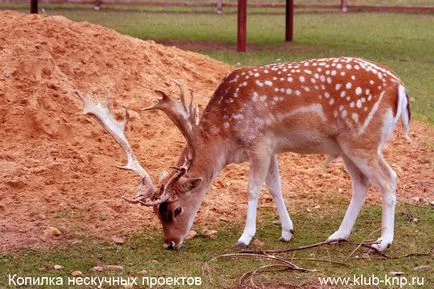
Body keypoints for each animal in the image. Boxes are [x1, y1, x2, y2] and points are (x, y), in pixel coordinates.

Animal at [77, 56, 410, 250]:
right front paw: (287, 231)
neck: (228, 138)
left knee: (389, 178)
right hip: (344, 145)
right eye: (158, 214)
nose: (169, 243)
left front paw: (245, 237)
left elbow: (252, 189)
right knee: (362, 183)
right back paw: (338, 234)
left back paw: (383, 242)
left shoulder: (259, 141)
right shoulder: (271, 146)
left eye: (176, 210)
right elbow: (274, 185)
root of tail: (401, 88)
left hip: (361, 139)